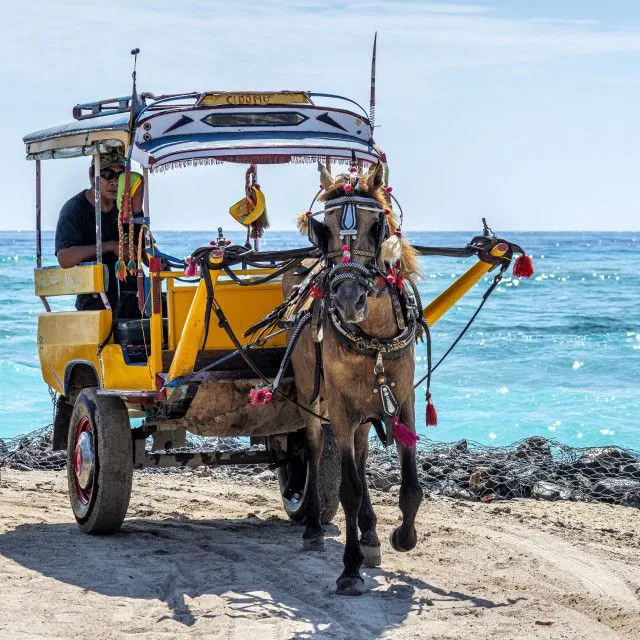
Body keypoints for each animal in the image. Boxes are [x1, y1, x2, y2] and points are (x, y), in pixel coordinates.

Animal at [282, 161, 422, 596]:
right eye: (322, 229)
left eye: (377, 227)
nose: (347, 300)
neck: (373, 337)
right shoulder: (341, 408)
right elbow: (347, 489)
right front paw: (349, 568)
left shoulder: (403, 400)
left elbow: (410, 485)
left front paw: (400, 537)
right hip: (312, 399)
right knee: (313, 452)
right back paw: (313, 528)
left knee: (360, 457)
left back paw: (370, 533)